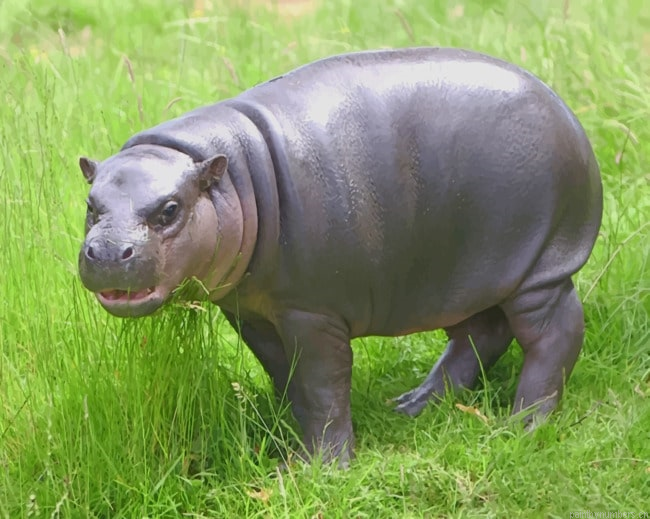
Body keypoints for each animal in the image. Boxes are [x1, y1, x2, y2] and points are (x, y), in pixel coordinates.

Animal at [78, 47, 603, 465]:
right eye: (90, 204)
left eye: (170, 209)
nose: (107, 251)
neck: (234, 178)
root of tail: (563, 109)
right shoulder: (251, 310)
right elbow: (284, 374)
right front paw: (284, 434)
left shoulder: (312, 313)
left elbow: (322, 382)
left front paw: (320, 466)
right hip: (474, 273)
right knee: (481, 333)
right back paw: (412, 405)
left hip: (539, 265)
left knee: (553, 334)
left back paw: (524, 425)